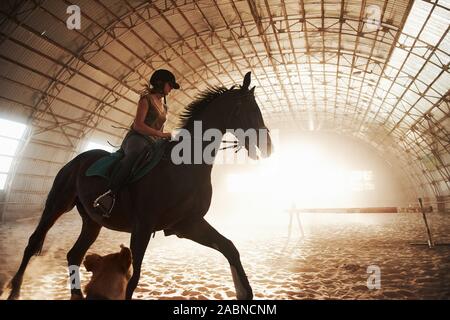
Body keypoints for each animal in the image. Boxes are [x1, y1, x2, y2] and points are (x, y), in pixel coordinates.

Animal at [7, 72, 272, 300]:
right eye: (249, 109)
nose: (268, 146)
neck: (184, 166)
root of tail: (77, 159)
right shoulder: (143, 227)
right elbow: (134, 278)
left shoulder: (187, 224)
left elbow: (230, 247)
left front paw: (244, 293)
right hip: (57, 204)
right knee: (33, 242)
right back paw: (14, 290)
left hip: (92, 221)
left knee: (75, 253)